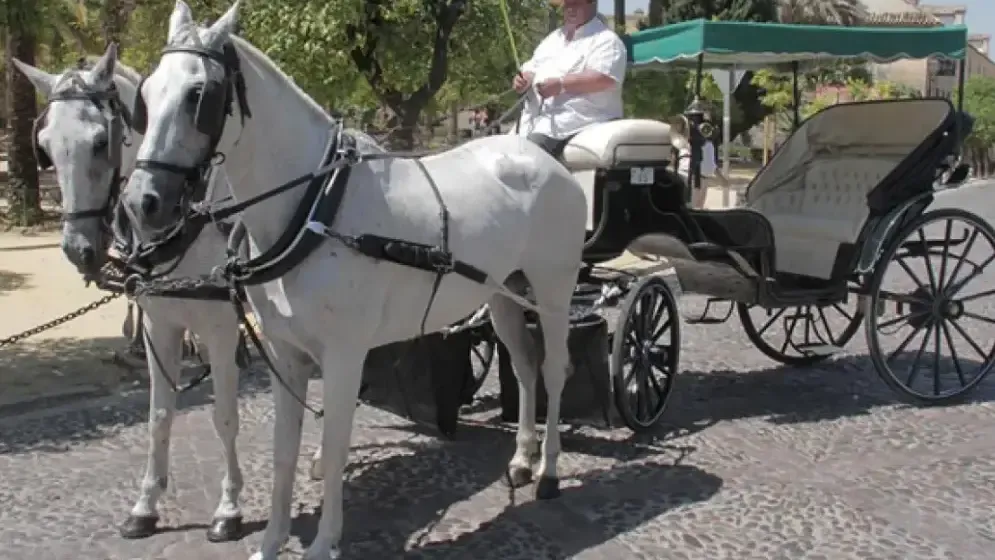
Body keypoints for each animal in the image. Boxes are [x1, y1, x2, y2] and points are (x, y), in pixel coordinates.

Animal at [13, 43, 310, 544]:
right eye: (47, 149)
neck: (190, 216)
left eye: (102, 141)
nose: (78, 248)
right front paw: (146, 505)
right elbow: (159, 417)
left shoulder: (220, 327)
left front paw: (228, 508)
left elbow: (224, 416)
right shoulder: (159, 325)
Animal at [119, 1, 588, 558]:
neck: (315, 207)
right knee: (524, 366)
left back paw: (550, 471)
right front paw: (271, 542)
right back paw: (521, 459)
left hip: (553, 292)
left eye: (200, 95)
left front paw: (324, 542)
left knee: (555, 369)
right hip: (503, 294)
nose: (143, 202)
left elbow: (335, 445)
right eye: (145, 97)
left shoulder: (343, 354)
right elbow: (283, 451)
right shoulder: (285, 353)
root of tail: (543, 155)